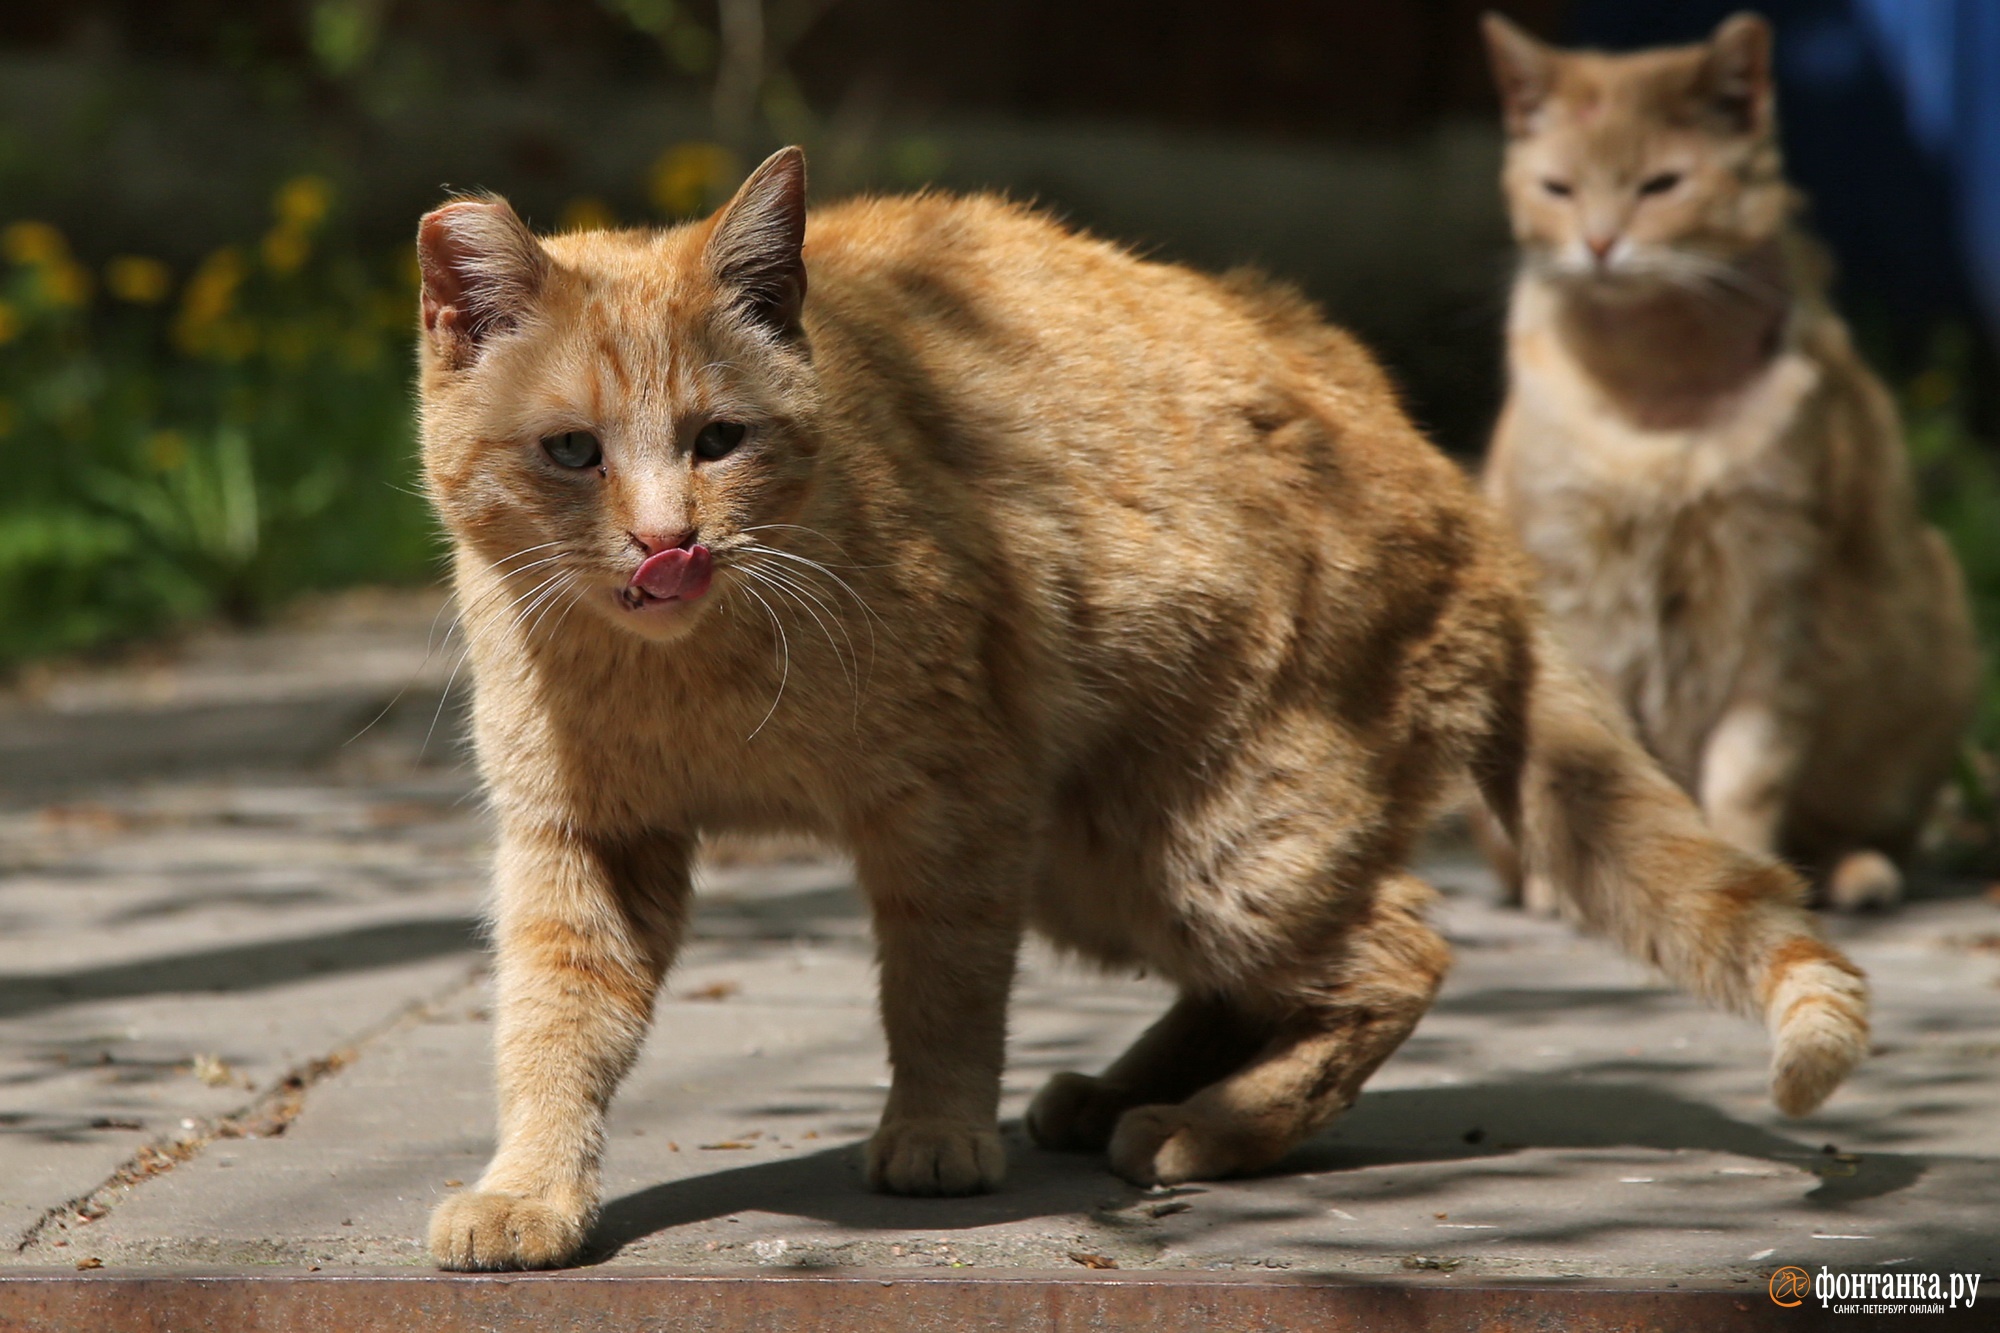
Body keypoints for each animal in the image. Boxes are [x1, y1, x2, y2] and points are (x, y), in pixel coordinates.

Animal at [414, 145, 1864, 1264]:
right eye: (571, 452)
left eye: (716, 440)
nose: (667, 543)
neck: (687, 673)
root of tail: (1474, 515)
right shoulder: (583, 845)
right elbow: (552, 1028)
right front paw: (528, 1188)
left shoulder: (954, 807)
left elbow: (938, 994)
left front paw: (935, 1132)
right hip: (1101, 858)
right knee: (1275, 980)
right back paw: (1121, 1093)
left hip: (1215, 840)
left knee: (1400, 948)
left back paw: (1203, 1127)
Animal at [1480, 13, 1976, 912]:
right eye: (1559, 188)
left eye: (1661, 185)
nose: (1599, 243)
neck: (1656, 398)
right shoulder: (1575, 594)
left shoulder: (1779, 604)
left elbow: (1748, 770)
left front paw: (1745, 868)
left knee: (1855, 825)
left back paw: (1852, 872)